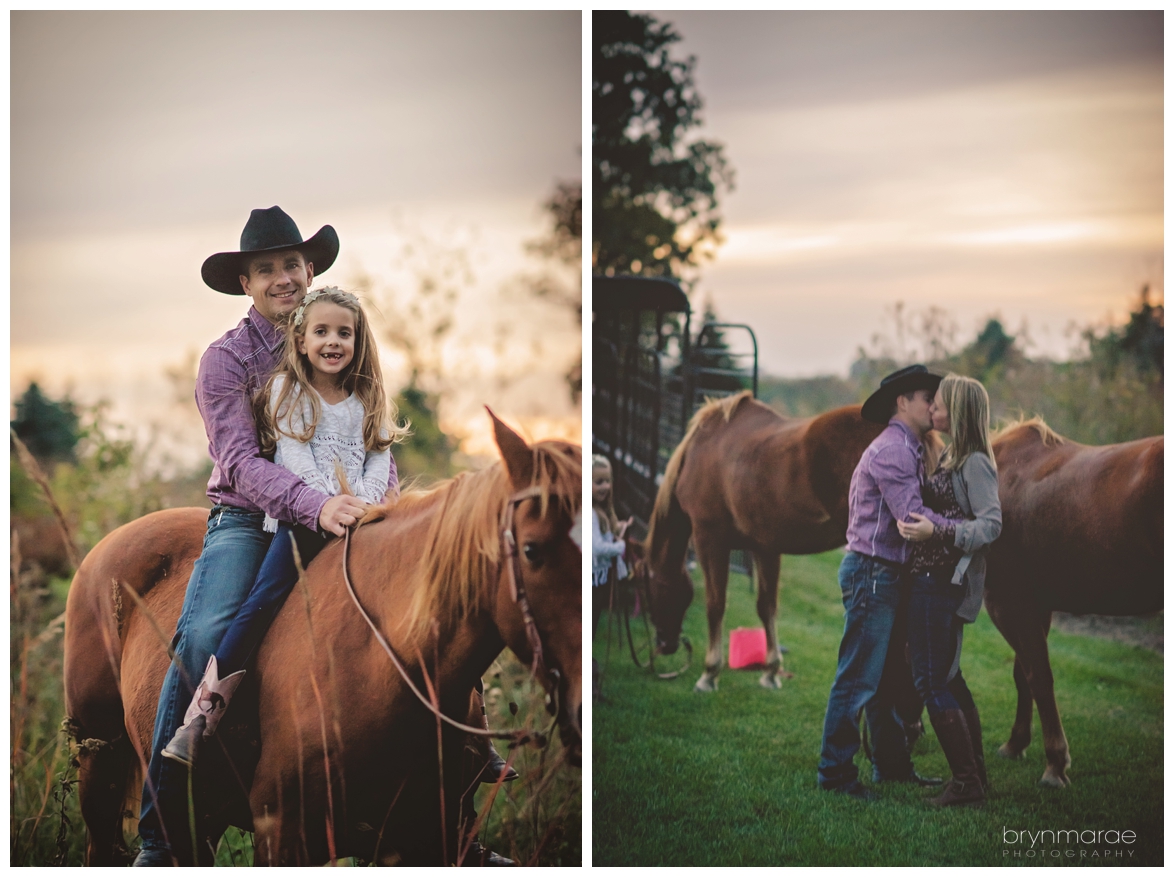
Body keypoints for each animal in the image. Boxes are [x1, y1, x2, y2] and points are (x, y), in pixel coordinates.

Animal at [638, 396, 911, 695]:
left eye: (650, 590)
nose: (666, 644)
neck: (700, 451)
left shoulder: (709, 539)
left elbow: (716, 605)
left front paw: (709, 674)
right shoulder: (765, 547)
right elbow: (766, 606)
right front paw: (770, 672)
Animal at [986, 417, 1159, 788]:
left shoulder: (1007, 603)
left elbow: (1038, 677)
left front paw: (1055, 764)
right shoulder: (1037, 606)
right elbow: (1023, 675)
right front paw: (1016, 744)